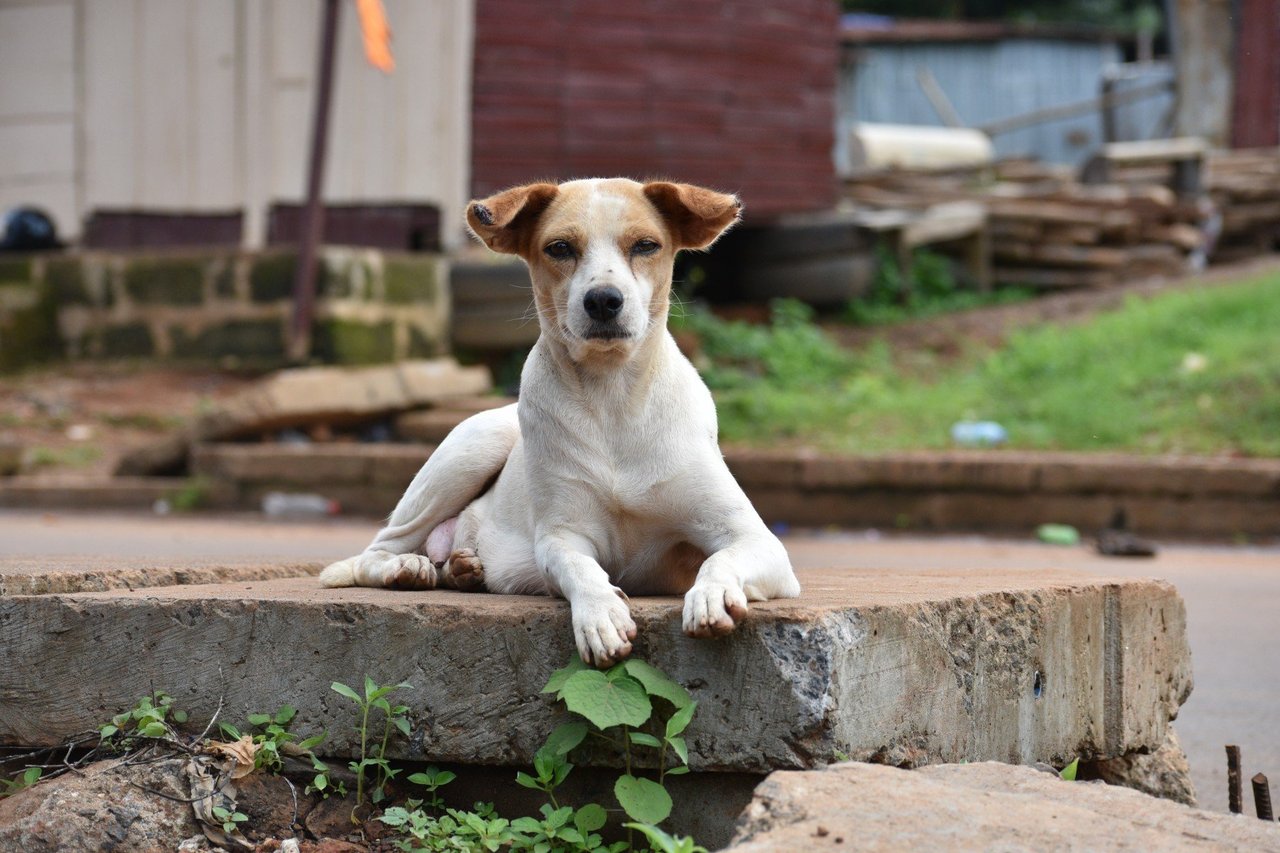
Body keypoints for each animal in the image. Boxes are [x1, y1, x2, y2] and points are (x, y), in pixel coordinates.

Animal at [320, 178, 798, 666]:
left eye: (646, 245)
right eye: (560, 248)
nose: (603, 300)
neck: (612, 401)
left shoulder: (756, 540)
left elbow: (720, 559)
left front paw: (711, 594)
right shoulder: (561, 535)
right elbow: (578, 567)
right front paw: (600, 616)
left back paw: (462, 569)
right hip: (472, 448)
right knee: (377, 548)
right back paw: (408, 566)